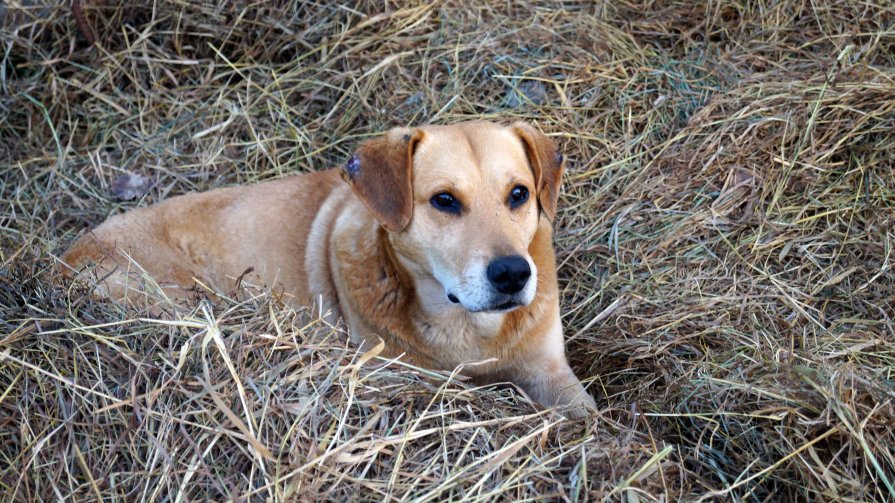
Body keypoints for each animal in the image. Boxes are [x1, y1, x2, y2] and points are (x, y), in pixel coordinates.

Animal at [61, 120, 596, 416]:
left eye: (519, 194)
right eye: (445, 200)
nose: (512, 274)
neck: (469, 332)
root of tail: (61, 259)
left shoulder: (551, 373)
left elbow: (589, 417)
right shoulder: (395, 378)